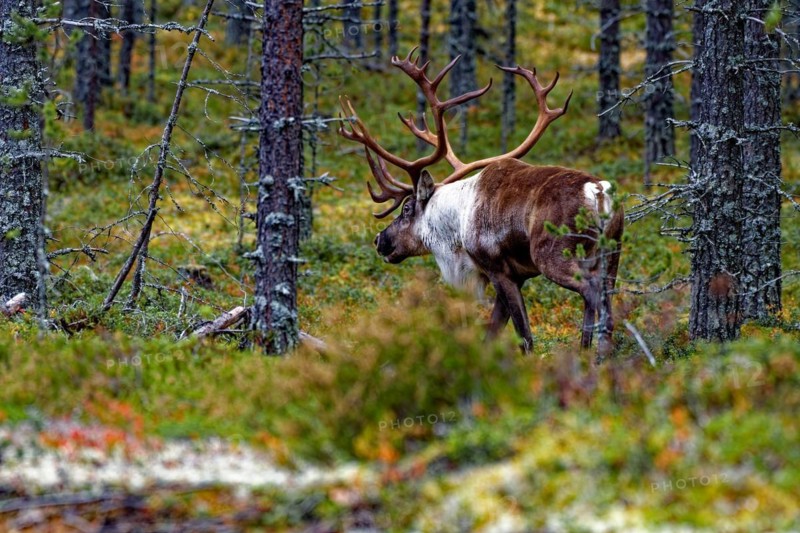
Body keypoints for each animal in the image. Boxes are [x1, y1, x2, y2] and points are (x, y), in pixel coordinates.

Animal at [338, 48, 624, 354]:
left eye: (406, 209)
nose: (379, 239)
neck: (456, 227)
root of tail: (598, 191)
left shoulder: (498, 270)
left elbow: (524, 337)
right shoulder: (519, 275)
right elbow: (493, 332)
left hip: (556, 256)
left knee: (594, 296)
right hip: (612, 255)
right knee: (600, 306)